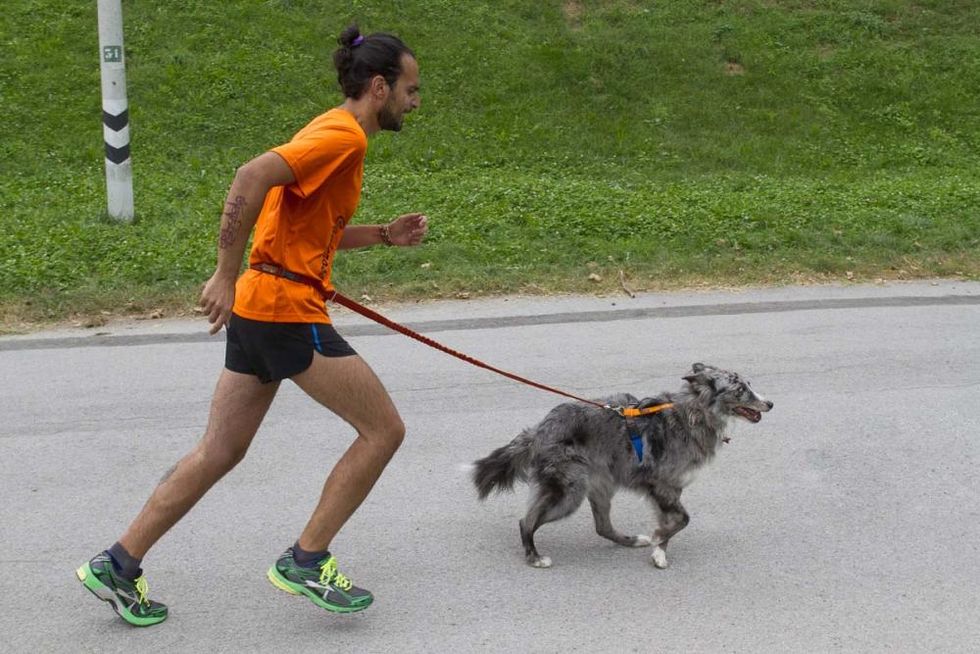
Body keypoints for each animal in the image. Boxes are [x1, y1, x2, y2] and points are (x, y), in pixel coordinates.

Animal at [474, 364, 772, 568]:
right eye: (740, 390)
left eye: (748, 384)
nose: (770, 403)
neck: (692, 414)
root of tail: (539, 430)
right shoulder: (661, 485)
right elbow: (683, 520)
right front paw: (659, 539)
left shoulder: (671, 490)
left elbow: (674, 521)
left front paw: (659, 550)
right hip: (569, 491)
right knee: (526, 521)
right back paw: (534, 557)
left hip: (600, 486)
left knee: (602, 527)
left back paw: (631, 541)